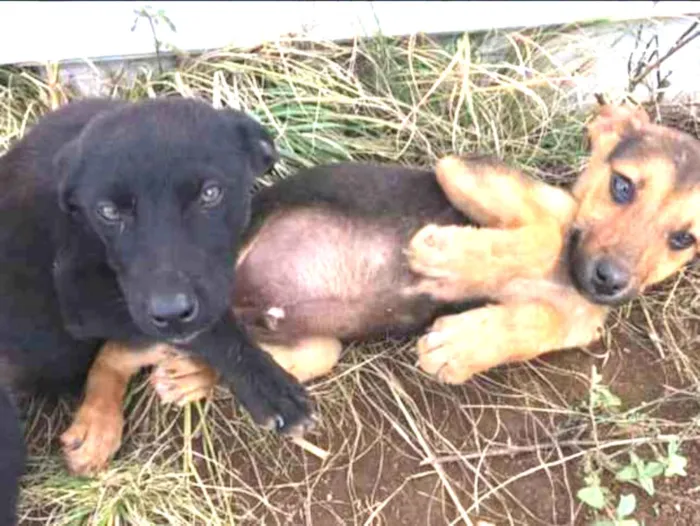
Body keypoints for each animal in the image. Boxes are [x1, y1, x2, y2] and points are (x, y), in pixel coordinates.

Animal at [0, 99, 312, 524]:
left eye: (210, 193)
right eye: (108, 212)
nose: (171, 312)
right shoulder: (81, 297)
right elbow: (215, 327)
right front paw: (266, 384)